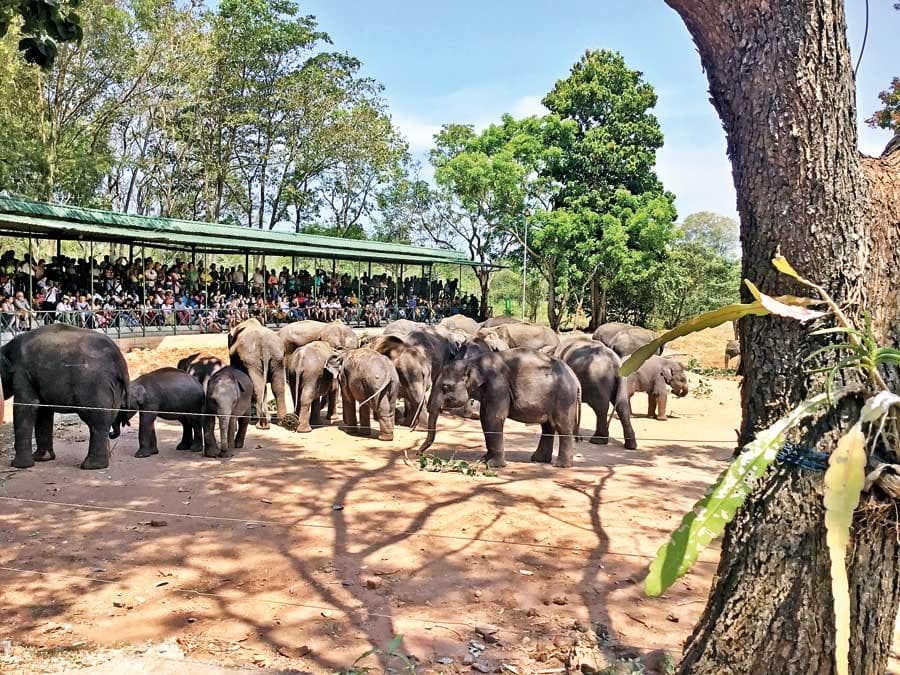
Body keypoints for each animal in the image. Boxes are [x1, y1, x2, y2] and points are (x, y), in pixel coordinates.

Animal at [1, 324, 129, 470]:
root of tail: (120, 360)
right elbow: (44, 411)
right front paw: (42, 458)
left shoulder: (22, 373)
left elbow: (26, 406)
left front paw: (18, 465)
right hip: (116, 389)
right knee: (107, 418)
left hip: (95, 386)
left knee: (96, 421)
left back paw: (91, 466)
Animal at [418, 348, 582, 468]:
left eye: (445, 387)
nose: (419, 454)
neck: (474, 362)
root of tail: (576, 379)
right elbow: (485, 418)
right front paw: (484, 459)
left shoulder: (497, 385)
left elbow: (493, 417)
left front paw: (494, 465)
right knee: (547, 426)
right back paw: (538, 459)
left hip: (564, 397)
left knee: (562, 426)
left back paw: (561, 465)